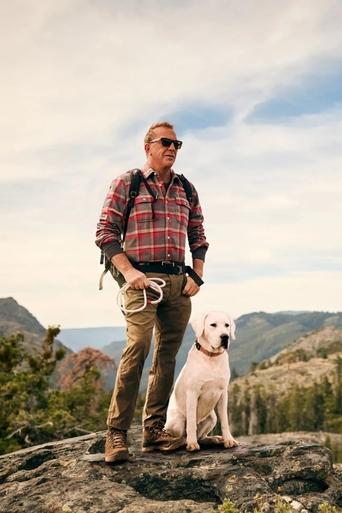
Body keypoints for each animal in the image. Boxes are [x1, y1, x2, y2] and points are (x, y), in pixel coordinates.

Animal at [165, 310, 238, 450]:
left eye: (227, 325)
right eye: (213, 325)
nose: (225, 337)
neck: (212, 358)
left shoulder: (223, 393)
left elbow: (225, 421)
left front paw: (228, 440)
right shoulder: (192, 393)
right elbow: (191, 422)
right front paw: (192, 443)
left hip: (212, 418)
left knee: (201, 436)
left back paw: (214, 439)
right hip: (178, 420)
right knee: (183, 434)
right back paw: (184, 441)